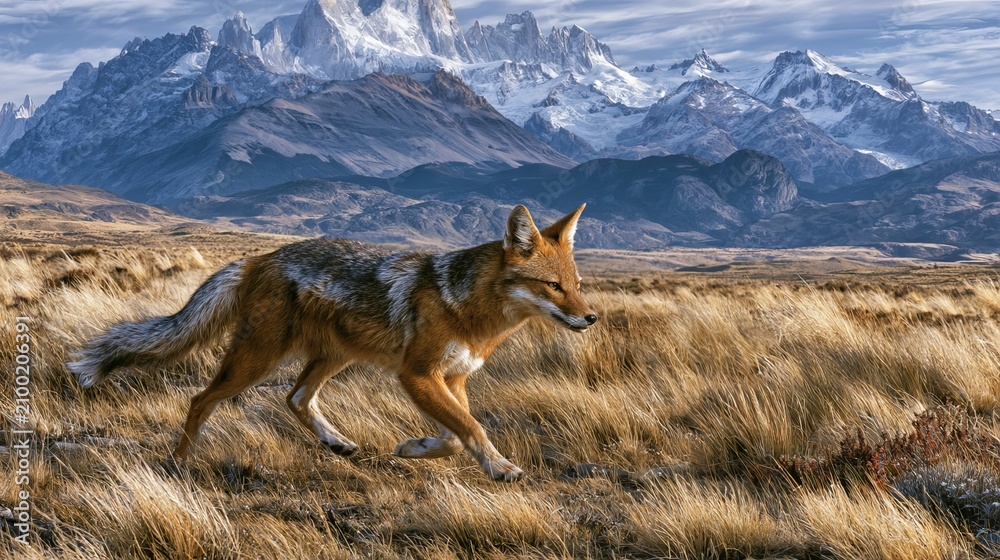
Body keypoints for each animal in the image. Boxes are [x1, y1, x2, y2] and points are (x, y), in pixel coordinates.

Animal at [67, 204, 596, 481]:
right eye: (553, 287)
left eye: (577, 284)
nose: (590, 317)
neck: (468, 308)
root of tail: (258, 257)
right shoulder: (417, 374)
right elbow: (471, 428)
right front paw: (501, 466)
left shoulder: (453, 378)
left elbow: (455, 434)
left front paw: (415, 448)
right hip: (258, 359)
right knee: (201, 400)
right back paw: (179, 462)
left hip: (333, 357)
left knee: (295, 397)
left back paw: (336, 442)